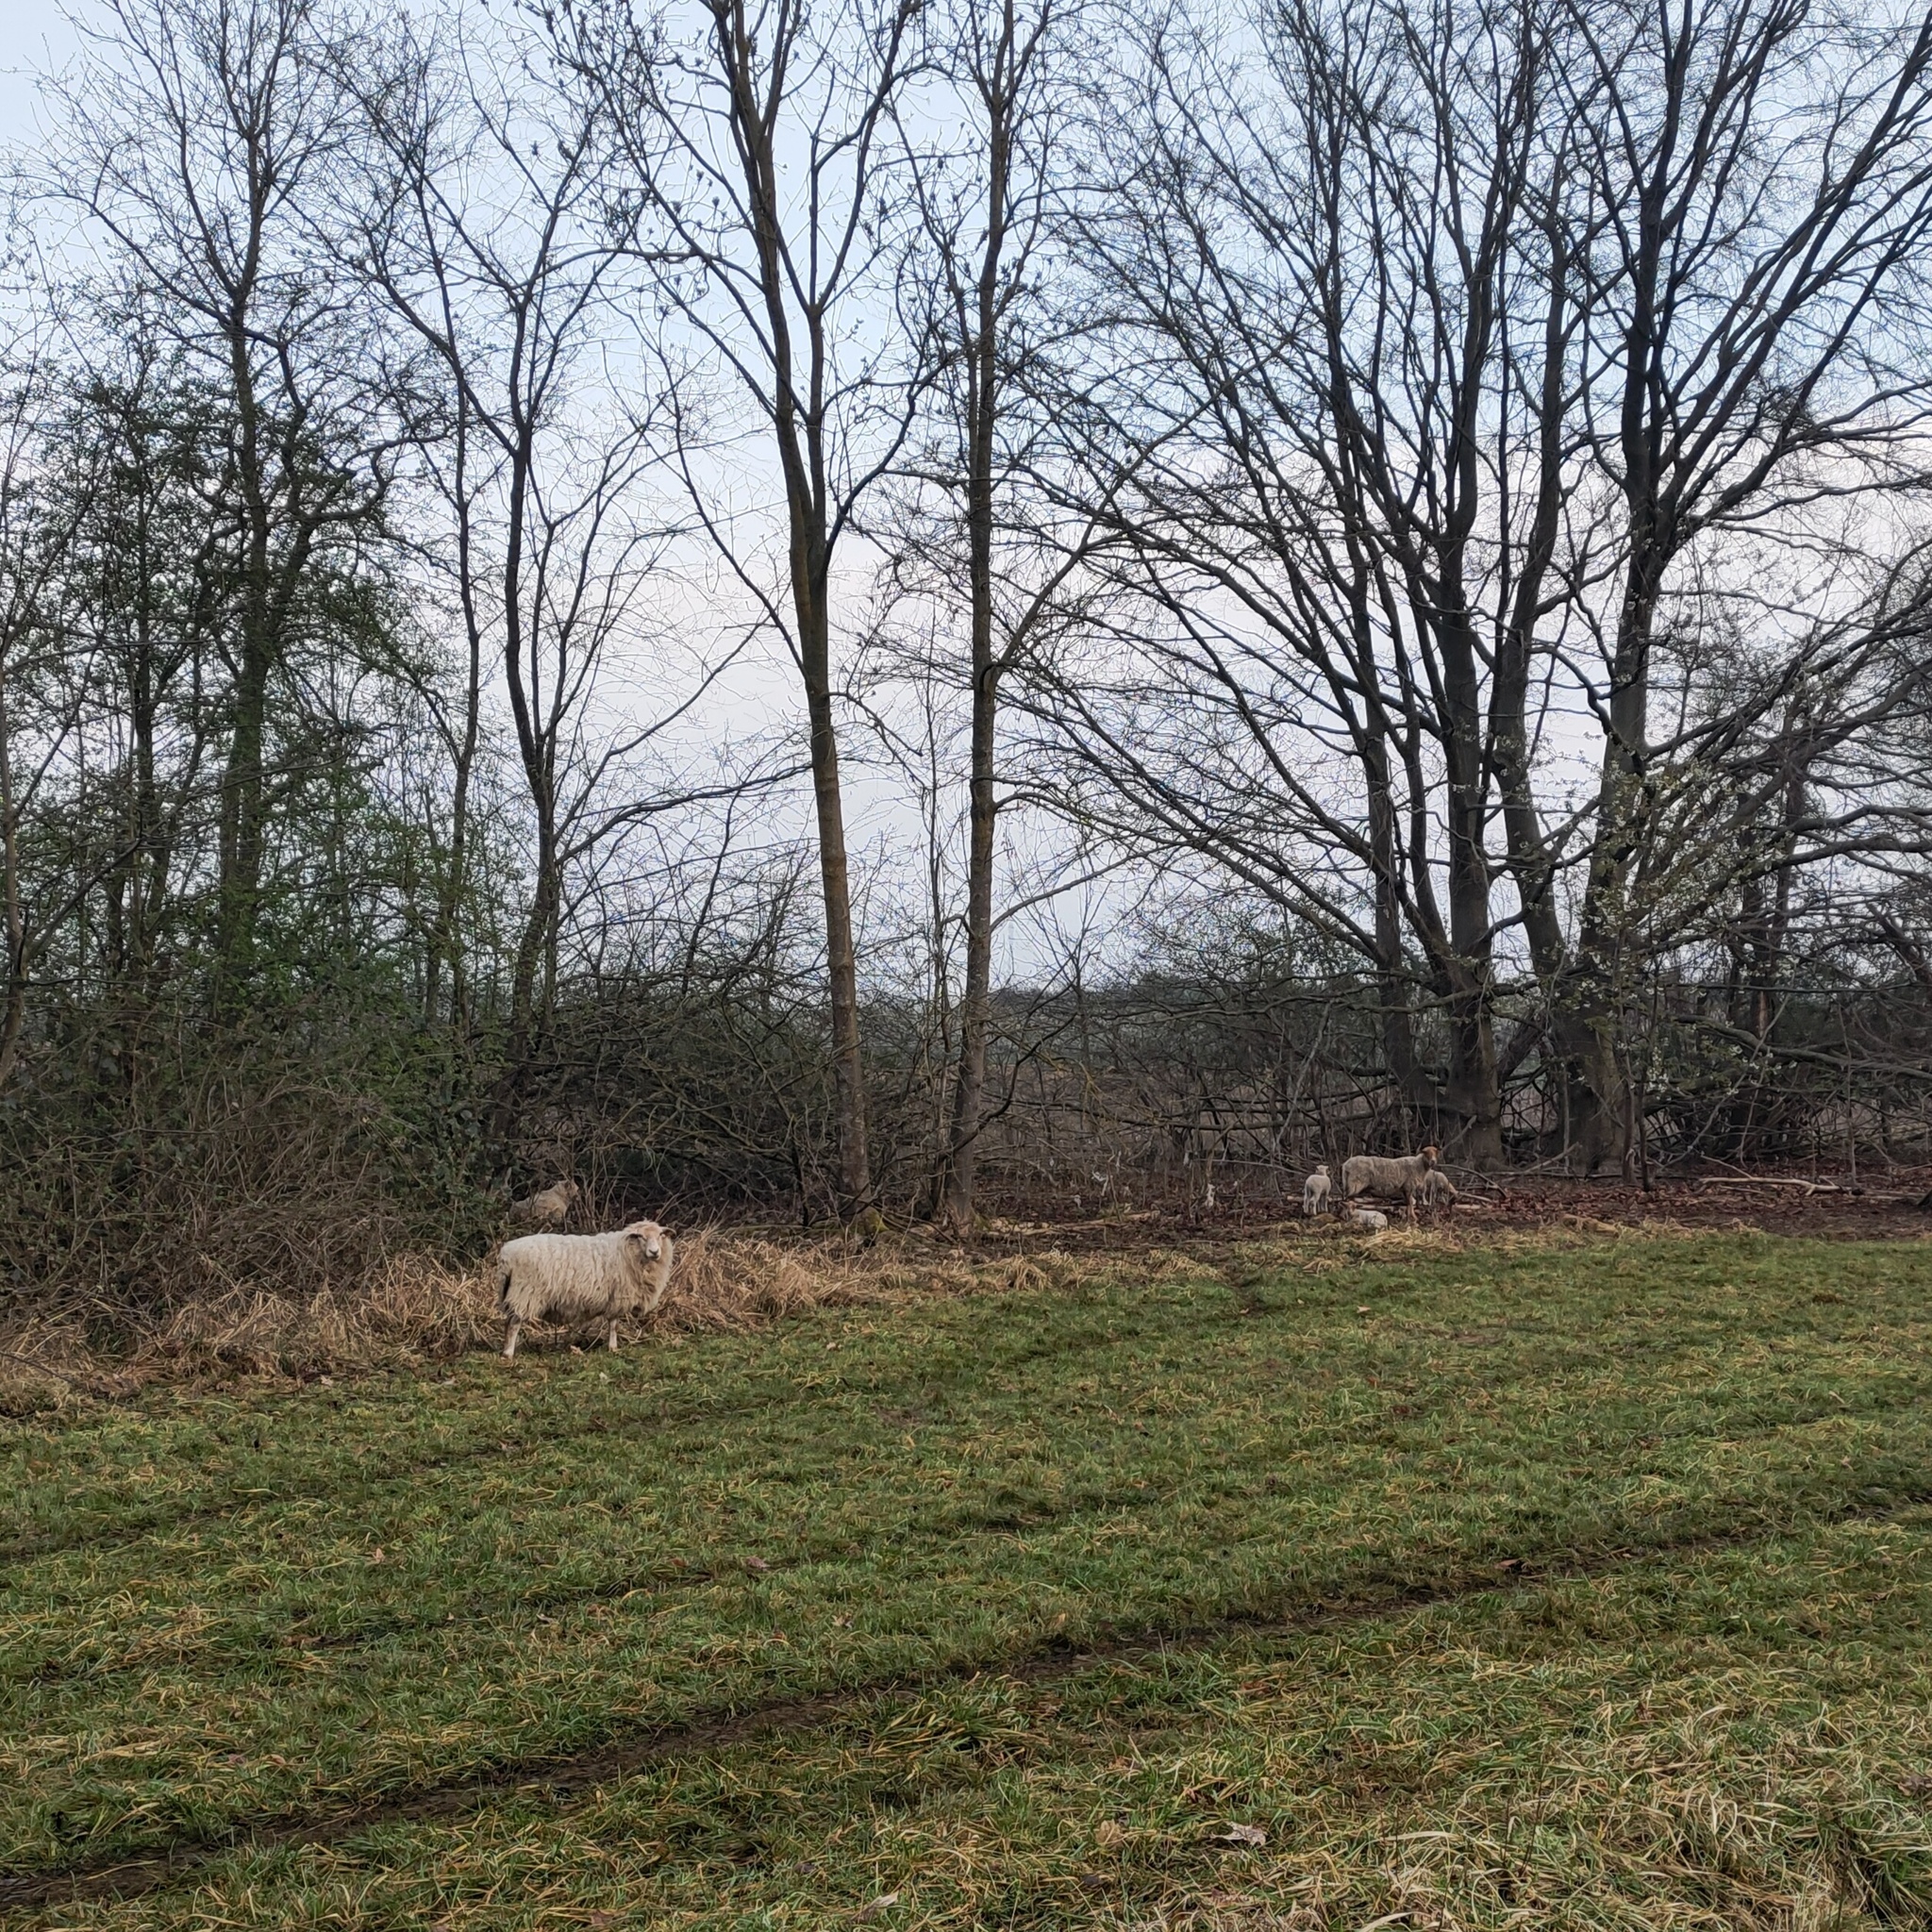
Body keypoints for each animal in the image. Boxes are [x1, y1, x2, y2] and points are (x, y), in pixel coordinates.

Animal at [494, 1221, 675, 1359]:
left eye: (660, 1235)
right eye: (641, 1237)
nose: (655, 1252)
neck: (627, 1251)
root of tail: (506, 1255)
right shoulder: (617, 1297)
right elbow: (614, 1325)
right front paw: (613, 1347)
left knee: (508, 1322)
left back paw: (505, 1350)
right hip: (525, 1293)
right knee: (514, 1324)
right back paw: (508, 1353)